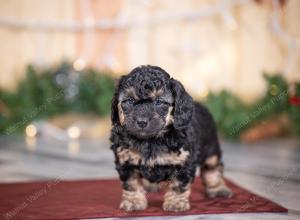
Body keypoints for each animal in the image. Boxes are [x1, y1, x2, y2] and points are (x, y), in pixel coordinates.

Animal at [110, 65, 232, 211]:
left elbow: (178, 184)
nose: (141, 121)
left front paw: (176, 203)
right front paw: (133, 201)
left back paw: (217, 188)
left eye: (159, 102)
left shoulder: (184, 161)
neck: (151, 140)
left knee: (212, 168)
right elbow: (131, 183)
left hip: (211, 148)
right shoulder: (126, 160)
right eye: (129, 101)